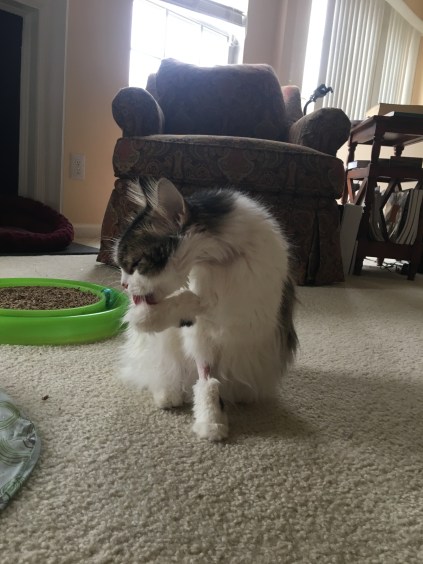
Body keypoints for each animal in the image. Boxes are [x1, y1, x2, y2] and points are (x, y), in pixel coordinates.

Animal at [115, 178, 298, 441]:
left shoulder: (246, 316)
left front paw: (211, 421)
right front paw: (211, 420)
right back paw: (168, 394)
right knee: (163, 371)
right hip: (165, 347)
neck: (219, 263)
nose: (123, 284)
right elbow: (206, 376)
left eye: (136, 264)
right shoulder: (199, 334)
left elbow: (197, 301)